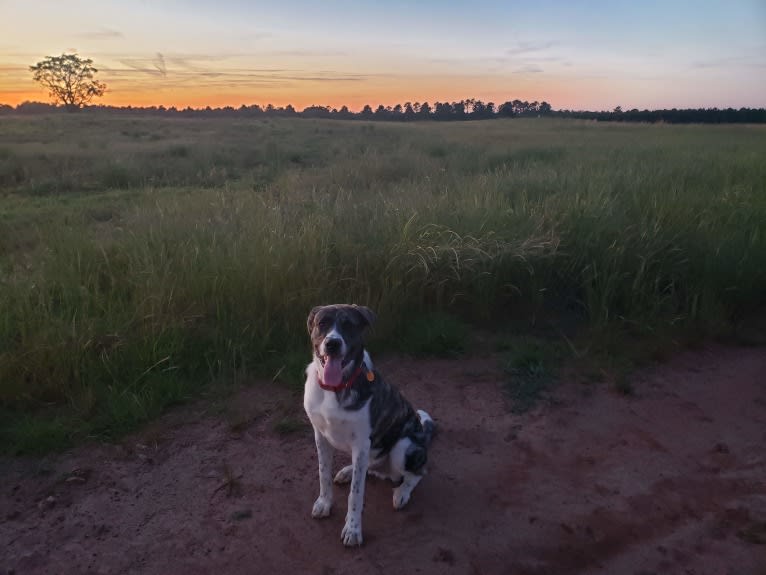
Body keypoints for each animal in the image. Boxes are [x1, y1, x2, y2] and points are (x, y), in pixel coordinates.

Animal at [306, 304, 438, 548]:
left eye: (348, 325)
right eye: (322, 323)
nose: (332, 343)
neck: (335, 388)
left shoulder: (361, 444)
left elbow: (355, 494)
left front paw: (353, 529)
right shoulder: (320, 437)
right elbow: (323, 474)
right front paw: (324, 502)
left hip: (403, 448)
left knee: (418, 472)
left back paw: (401, 492)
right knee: (368, 467)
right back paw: (348, 471)